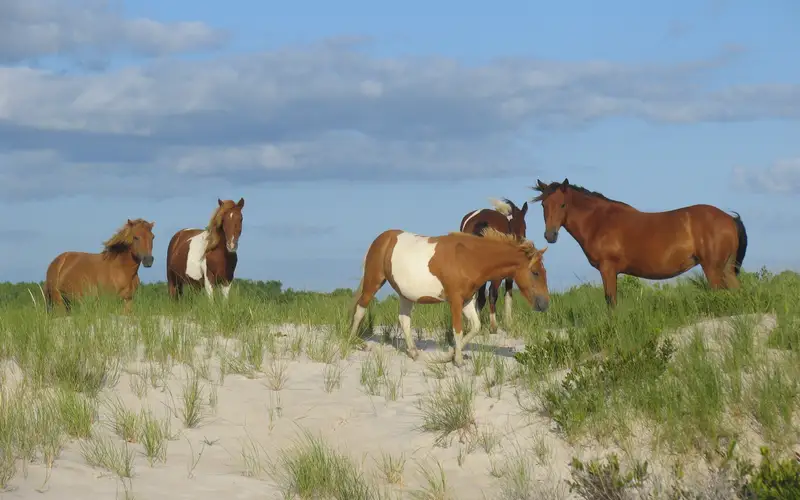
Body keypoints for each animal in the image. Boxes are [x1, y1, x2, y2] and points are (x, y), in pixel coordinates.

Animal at [349, 226, 549, 367]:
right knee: (360, 310)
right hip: (373, 282)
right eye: (535, 272)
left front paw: (449, 355)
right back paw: (352, 342)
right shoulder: (455, 301)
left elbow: (475, 327)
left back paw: (413, 352)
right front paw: (458, 360)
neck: (469, 258)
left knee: (404, 320)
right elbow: (458, 330)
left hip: (406, 294)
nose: (544, 304)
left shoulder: (467, 301)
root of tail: (381, 239)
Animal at [531, 178, 748, 307]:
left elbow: (611, 301)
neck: (599, 221)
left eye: (562, 204)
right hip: (727, 268)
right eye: (543, 205)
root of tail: (729, 219)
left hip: (713, 269)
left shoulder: (608, 269)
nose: (550, 235)